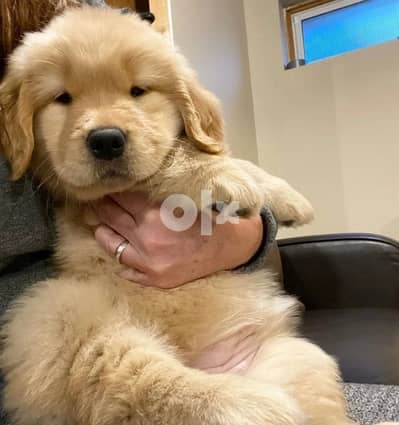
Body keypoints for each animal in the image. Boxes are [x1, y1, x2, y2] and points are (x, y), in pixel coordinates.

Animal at [0, 5, 392, 424]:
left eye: (138, 91)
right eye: (63, 97)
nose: (106, 140)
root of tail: (209, 364)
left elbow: (200, 151)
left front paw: (285, 197)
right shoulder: (80, 199)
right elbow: (173, 156)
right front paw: (222, 177)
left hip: (302, 359)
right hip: (55, 310)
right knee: (136, 379)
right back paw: (251, 406)